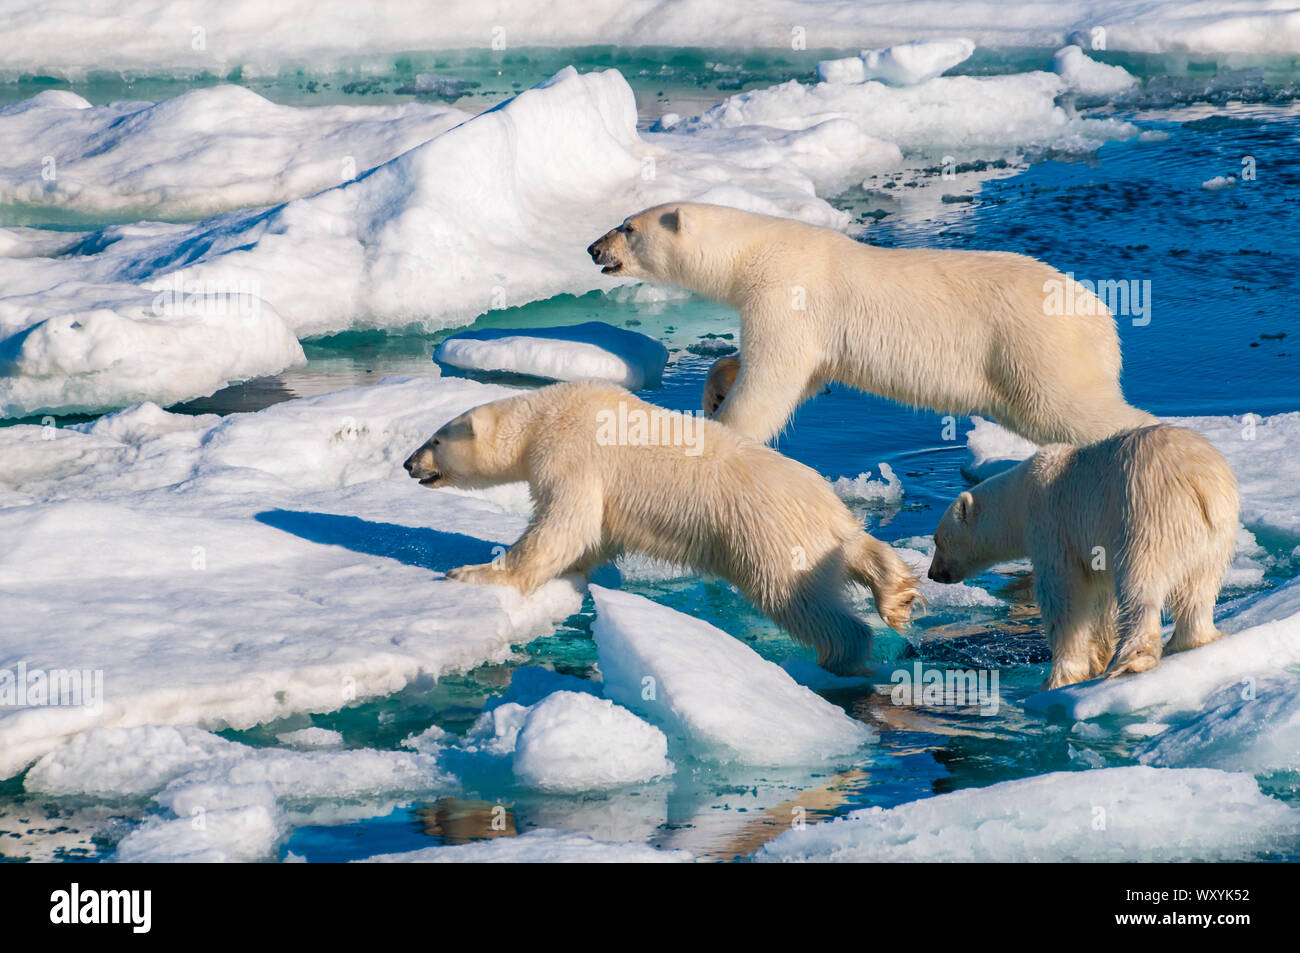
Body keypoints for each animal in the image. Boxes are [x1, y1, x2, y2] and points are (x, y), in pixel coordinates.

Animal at [403, 380, 920, 674]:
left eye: (434, 439)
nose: (409, 463)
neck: (545, 416)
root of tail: (830, 511)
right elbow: (593, 535)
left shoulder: (572, 453)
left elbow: (564, 524)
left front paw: (474, 573)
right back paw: (897, 595)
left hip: (770, 535)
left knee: (797, 600)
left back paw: (842, 657)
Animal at [587, 203, 1156, 446]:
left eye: (627, 227)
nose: (594, 248)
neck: (755, 251)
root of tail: (1103, 320)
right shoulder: (812, 328)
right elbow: (798, 373)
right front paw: (714, 391)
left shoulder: (789, 292)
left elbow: (772, 379)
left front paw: (725, 429)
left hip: (1036, 347)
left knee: (1074, 411)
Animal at [926, 424, 1238, 689]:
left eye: (937, 539)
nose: (933, 573)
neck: (1021, 496)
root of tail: (1199, 482)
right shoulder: (1092, 547)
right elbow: (1101, 598)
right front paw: (1099, 658)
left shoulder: (1052, 525)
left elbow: (1064, 597)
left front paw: (1059, 676)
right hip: (1216, 535)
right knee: (1200, 587)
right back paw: (1191, 640)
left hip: (1146, 515)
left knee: (1141, 585)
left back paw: (1132, 660)